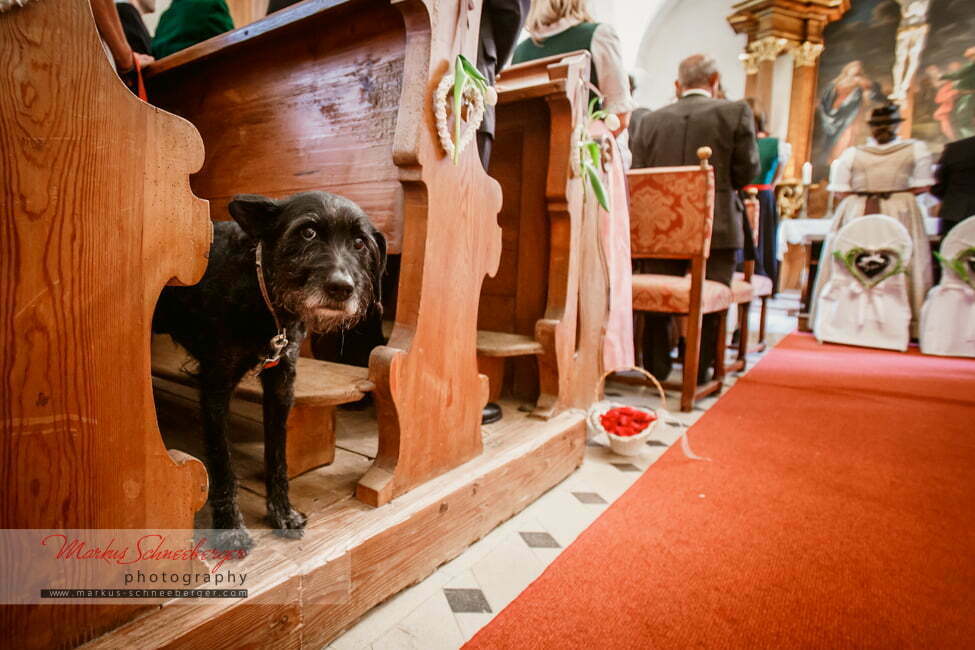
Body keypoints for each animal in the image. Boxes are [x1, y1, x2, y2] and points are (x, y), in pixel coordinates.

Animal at [152, 191, 386, 548]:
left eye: (360, 243)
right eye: (308, 233)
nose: (341, 288)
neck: (264, 298)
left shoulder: (281, 384)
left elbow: (277, 455)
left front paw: (283, 512)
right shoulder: (215, 387)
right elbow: (222, 462)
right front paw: (230, 528)